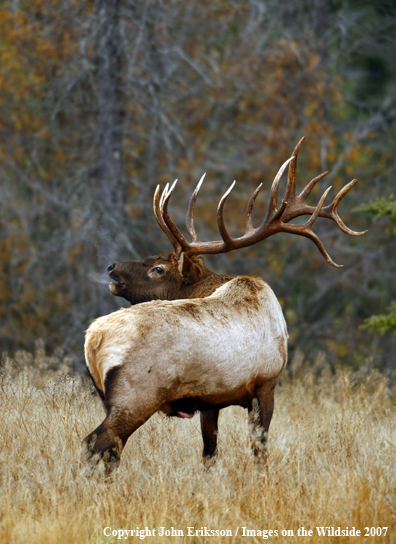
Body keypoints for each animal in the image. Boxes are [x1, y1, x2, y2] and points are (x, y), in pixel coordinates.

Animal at [83, 139, 366, 472]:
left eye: (158, 268)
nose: (112, 267)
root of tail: (93, 338)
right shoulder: (266, 382)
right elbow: (260, 449)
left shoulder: (211, 400)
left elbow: (210, 452)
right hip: (136, 395)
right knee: (98, 444)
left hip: (109, 398)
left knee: (104, 448)